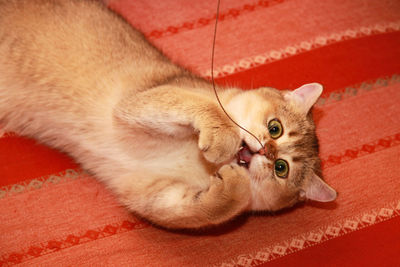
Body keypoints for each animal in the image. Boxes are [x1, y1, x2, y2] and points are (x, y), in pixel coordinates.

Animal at [0, 0, 338, 230]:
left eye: (281, 168)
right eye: (275, 127)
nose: (266, 151)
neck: (194, 163)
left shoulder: (148, 192)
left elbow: (204, 210)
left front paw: (234, 185)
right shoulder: (141, 102)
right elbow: (203, 107)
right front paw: (222, 140)